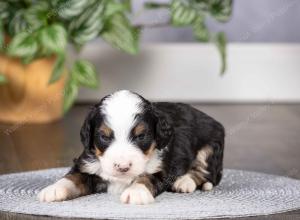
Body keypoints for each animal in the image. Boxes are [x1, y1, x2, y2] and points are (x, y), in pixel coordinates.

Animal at [37, 89, 224, 205]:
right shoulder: (87, 164)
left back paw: (184, 182)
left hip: (210, 148)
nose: (123, 167)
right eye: (104, 136)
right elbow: (72, 177)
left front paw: (137, 192)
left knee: (204, 173)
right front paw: (53, 189)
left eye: (141, 136)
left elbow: (147, 178)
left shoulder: (163, 168)